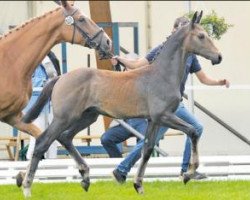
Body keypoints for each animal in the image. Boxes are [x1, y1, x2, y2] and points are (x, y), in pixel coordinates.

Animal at [20, 11, 222, 198]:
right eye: (201, 36)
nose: (218, 57)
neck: (162, 74)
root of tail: (60, 78)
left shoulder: (154, 120)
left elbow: (147, 149)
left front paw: (139, 185)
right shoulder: (163, 116)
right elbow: (193, 131)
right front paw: (189, 174)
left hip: (87, 117)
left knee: (65, 137)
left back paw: (85, 178)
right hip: (64, 118)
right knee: (42, 142)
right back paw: (27, 187)